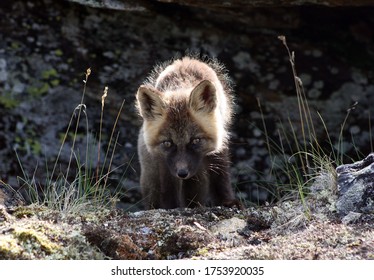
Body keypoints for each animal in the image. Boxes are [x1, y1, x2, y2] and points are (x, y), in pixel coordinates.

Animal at [136, 55, 238, 209]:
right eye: (167, 143)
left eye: (195, 140)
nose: (182, 173)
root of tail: (187, 59)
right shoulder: (165, 163)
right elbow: (169, 190)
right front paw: (171, 207)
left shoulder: (218, 148)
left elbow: (221, 179)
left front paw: (227, 202)